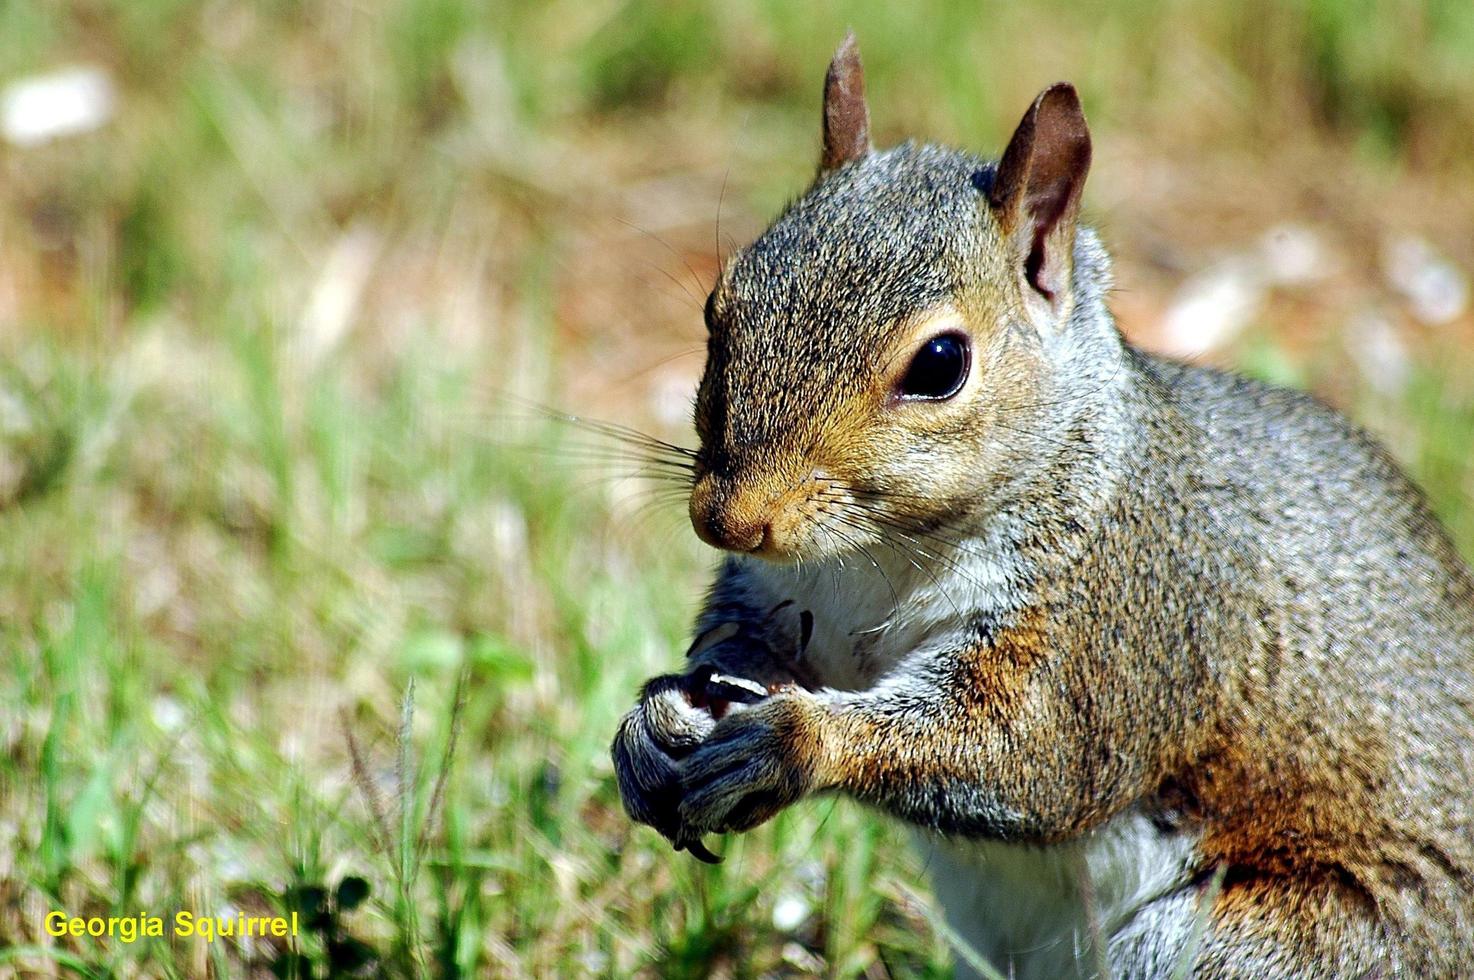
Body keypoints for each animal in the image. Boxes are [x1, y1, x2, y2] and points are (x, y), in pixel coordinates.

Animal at [607, 30, 1474, 978]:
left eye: (940, 363)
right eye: (716, 310)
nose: (727, 520)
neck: (878, 556)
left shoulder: (1116, 618)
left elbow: (1032, 751)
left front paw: (792, 741)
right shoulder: (777, 594)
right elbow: (739, 649)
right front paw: (657, 720)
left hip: (1257, 944)